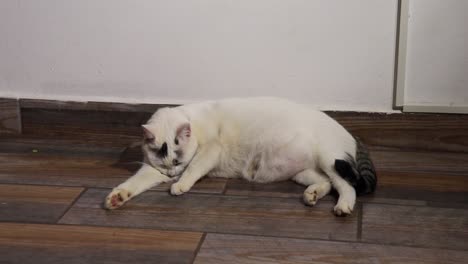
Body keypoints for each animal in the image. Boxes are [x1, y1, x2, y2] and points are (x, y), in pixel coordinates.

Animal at [106, 98, 376, 216]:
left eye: (178, 161)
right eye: (165, 164)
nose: (172, 175)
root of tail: (350, 133)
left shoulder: (210, 150)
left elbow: (194, 168)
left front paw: (181, 185)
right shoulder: (152, 169)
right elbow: (133, 183)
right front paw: (117, 197)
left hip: (330, 161)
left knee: (346, 186)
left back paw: (343, 206)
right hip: (304, 173)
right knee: (326, 183)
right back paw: (312, 195)